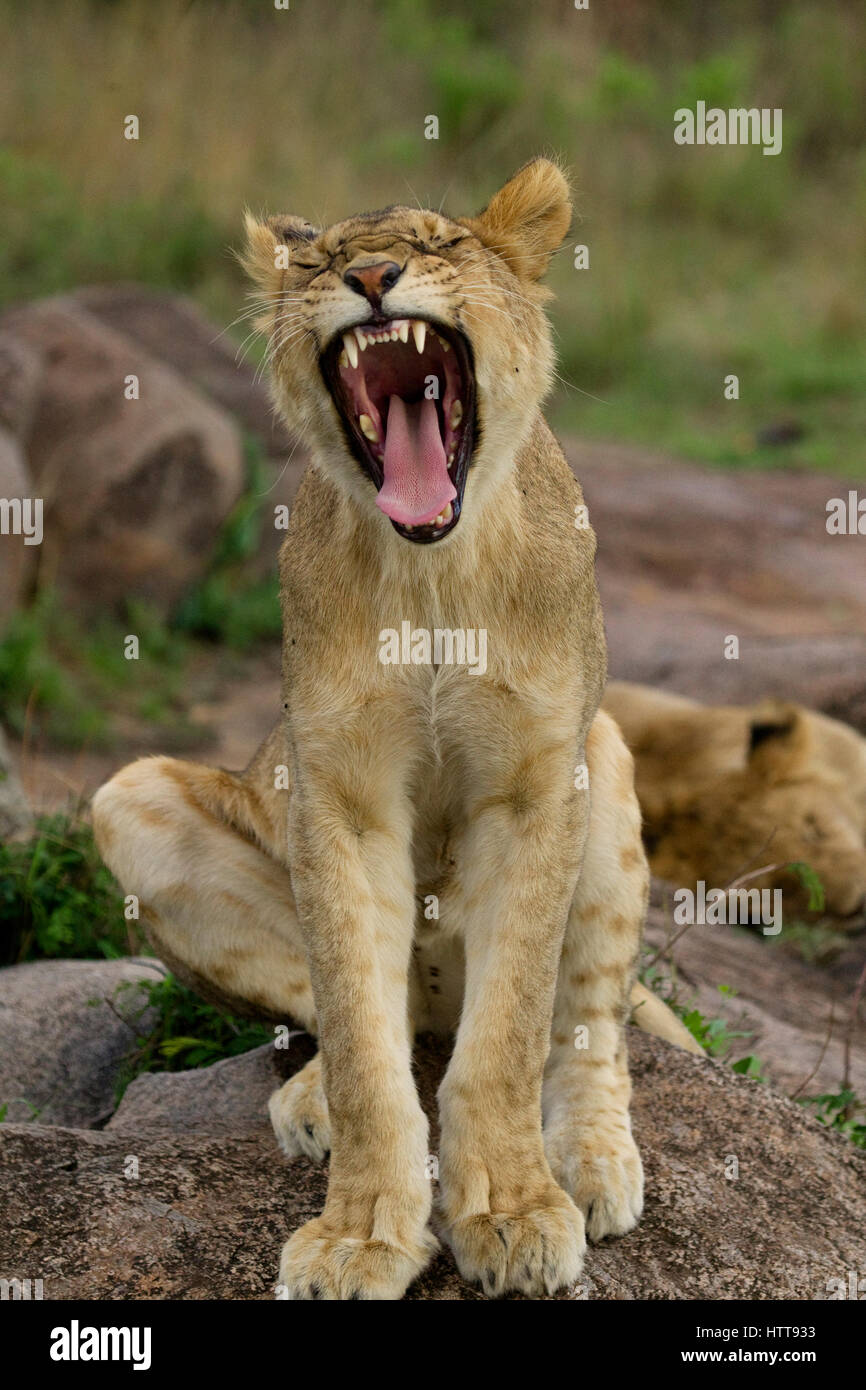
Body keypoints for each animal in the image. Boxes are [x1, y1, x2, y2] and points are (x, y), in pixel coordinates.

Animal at [92, 159, 696, 1303]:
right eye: (324, 259)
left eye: (439, 243)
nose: (372, 277)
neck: (431, 572)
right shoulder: (341, 793)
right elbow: (368, 1051)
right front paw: (361, 1234)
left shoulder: (534, 781)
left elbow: (508, 1036)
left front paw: (513, 1212)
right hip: (127, 799)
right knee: (371, 1018)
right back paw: (311, 1102)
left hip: (602, 755)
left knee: (585, 1029)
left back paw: (595, 1165)